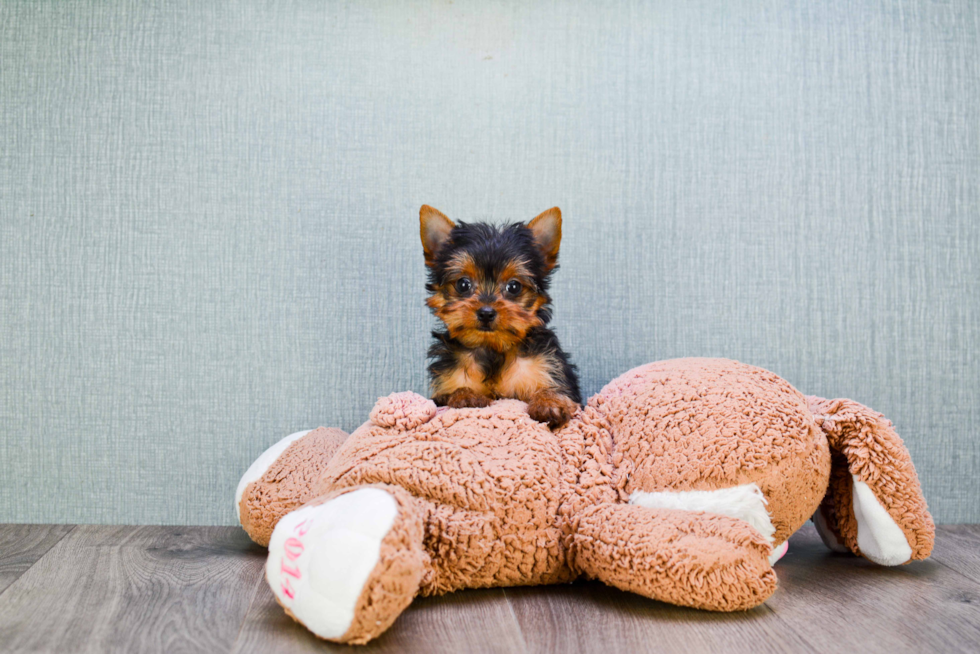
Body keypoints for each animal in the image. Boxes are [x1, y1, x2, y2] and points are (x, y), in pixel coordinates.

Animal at [418, 206, 580, 430]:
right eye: (463, 284)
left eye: (514, 286)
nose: (486, 312)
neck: (493, 347)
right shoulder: (445, 383)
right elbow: (453, 392)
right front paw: (465, 395)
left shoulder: (547, 367)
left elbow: (554, 390)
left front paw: (549, 403)